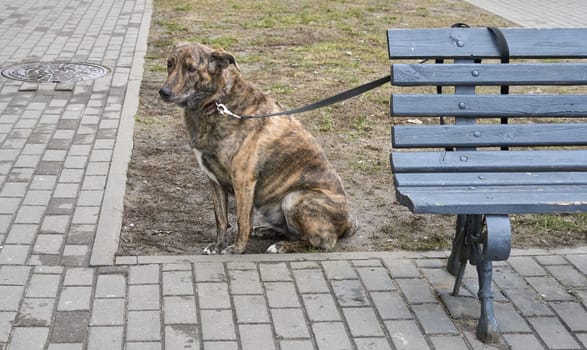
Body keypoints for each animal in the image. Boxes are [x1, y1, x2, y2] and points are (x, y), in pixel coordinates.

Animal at [158, 42, 356, 253]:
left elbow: (242, 221)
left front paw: (236, 250)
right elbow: (221, 219)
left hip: (293, 199)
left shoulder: (243, 180)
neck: (216, 103)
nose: (163, 92)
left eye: (191, 69)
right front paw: (218, 246)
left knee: (321, 241)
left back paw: (282, 246)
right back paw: (267, 232)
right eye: (169, 64)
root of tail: (347, 224)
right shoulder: (213, 180)